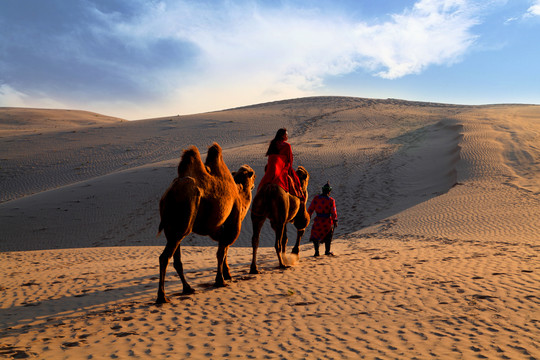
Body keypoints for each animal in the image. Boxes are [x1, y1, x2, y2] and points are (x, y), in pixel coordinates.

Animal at [156, 142, 258, 302]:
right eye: (253, 174)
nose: (255, 182)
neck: (240, 194)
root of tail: (166, 197)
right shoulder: (233, 219)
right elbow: (221, 251)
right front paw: (221, 280)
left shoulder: (216, 227)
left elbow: (224, 249)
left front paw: (226, 275)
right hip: (184, 222)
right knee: (164, 257)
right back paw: (162, 296)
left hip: (172, 229)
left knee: (176, 258)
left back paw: (188, 288)